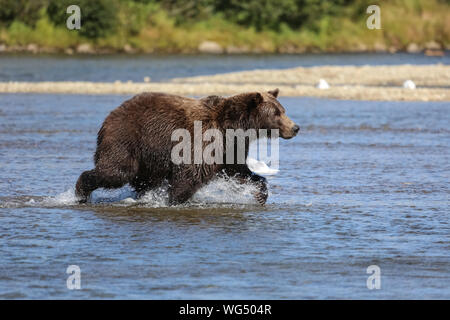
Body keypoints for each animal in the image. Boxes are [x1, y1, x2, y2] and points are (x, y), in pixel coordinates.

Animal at [74, 89, 298, 205]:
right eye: (277, 113)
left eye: (283, 110)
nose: (295, 127)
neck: (234, 128)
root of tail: (110, 116)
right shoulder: (203, 142)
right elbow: (189, 176)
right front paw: (174, 200)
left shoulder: (230, 149)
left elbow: (241, 171)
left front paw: (260, 194)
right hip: (127, 139)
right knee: (117, 171)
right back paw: (80, 192)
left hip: (150, 157)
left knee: (143, 180)